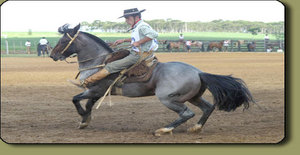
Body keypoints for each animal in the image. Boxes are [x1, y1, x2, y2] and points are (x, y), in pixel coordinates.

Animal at [50, 23, 254, 136]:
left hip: (168, 98)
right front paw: (85, 120)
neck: (100, 62)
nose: (52, 55)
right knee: (208, 108)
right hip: (193, 96)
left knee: (186, 113)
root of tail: (199, 72)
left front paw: (82, 117)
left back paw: (163, 130)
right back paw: (195, 128)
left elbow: (76, 99)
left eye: (63, 41)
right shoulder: (98, 92)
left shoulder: (94, 90)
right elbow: (88, 104)